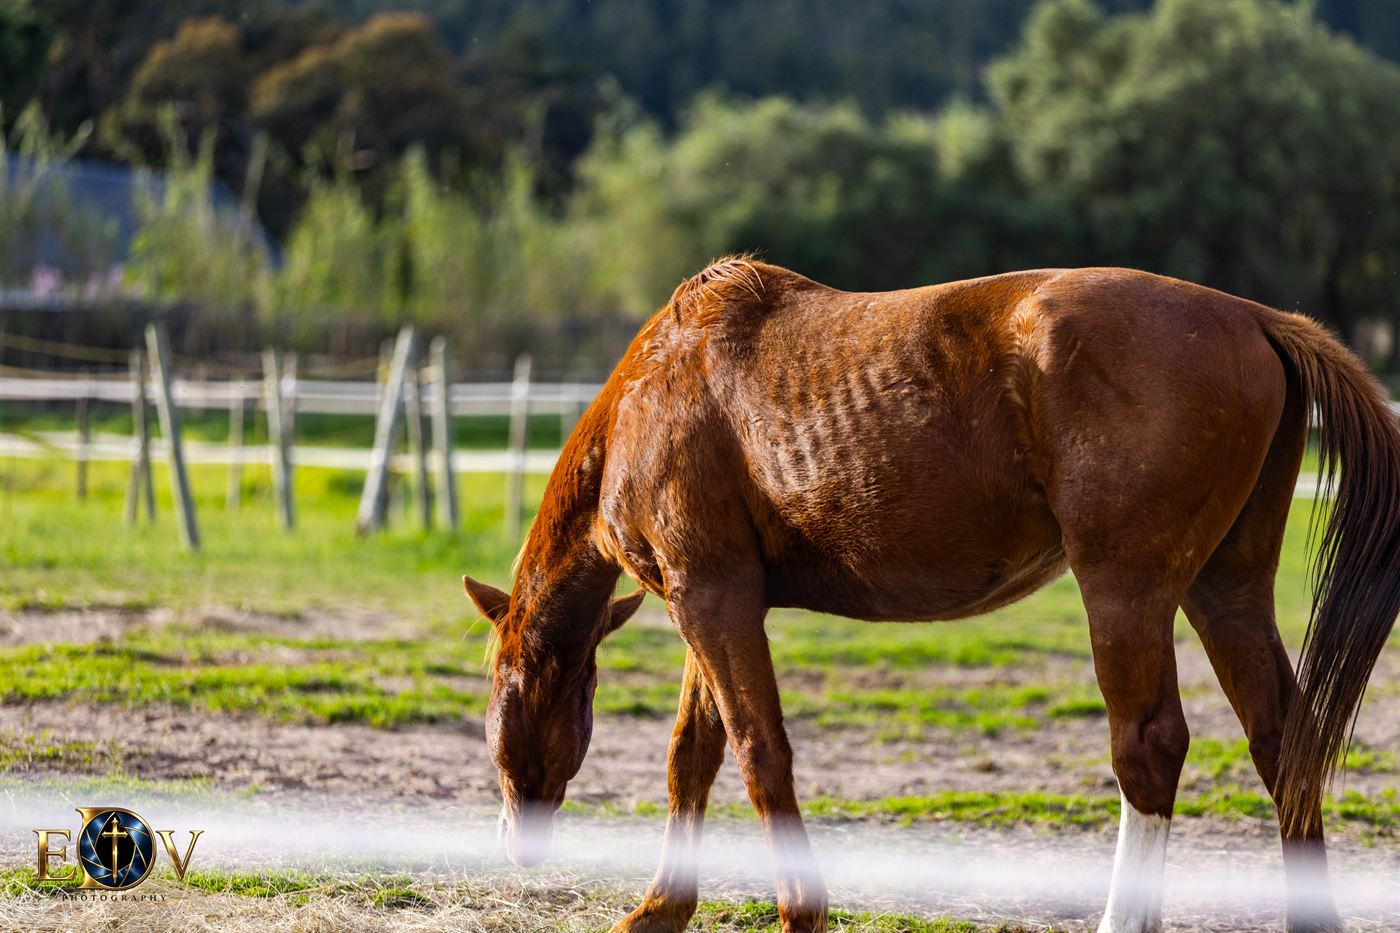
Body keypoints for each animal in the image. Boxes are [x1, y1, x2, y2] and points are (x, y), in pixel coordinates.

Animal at [462, 259, 1400, 933]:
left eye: (502, 686)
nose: (513, 842)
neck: (655, 388)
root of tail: (1254, 318)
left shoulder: (711, 600)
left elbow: (760, 755)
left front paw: (800, 912)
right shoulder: (710, 604)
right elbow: (694, 755)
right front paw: (661, 909)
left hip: (1127, 592)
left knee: (1150, 748)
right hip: (1225, 589)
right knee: (1283, 742)